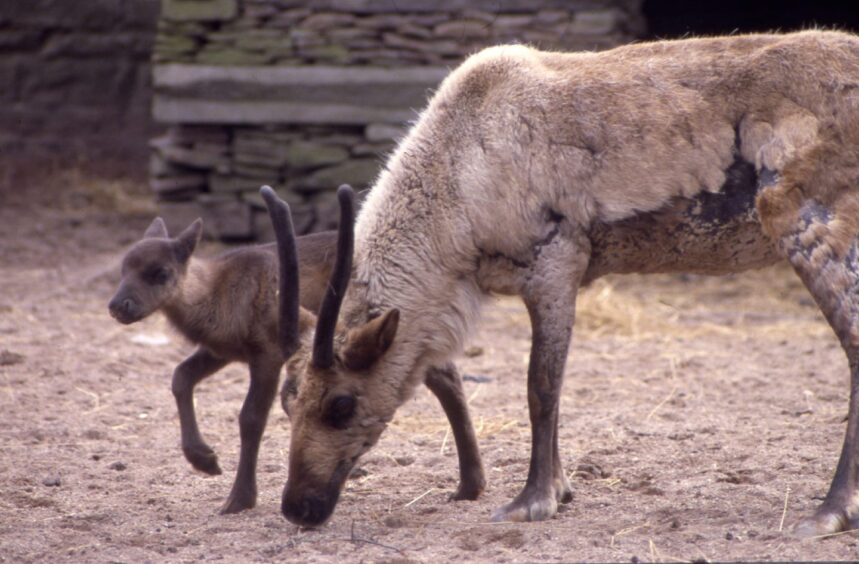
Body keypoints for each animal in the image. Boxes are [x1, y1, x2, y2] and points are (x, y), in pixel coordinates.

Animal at [107, 187, 484, 514]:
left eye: (160, 272)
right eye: (123, 268)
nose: (118, 306)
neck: (216, 295)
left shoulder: (268, 352)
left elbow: (250, 417)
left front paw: (239, 499)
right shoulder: (222, 350)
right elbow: (180, 376)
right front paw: (206, 460)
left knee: (445, 377)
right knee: (444, 375)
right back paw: (465, 485)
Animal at [270, 30, 859, 537]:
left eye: (341, 404)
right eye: (286, 400)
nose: (297, 506)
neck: (454, 199)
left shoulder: (556, 261)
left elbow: (541, 386)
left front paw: (535, 498)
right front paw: (561, 488)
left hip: (806, 218)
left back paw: (830, 511)